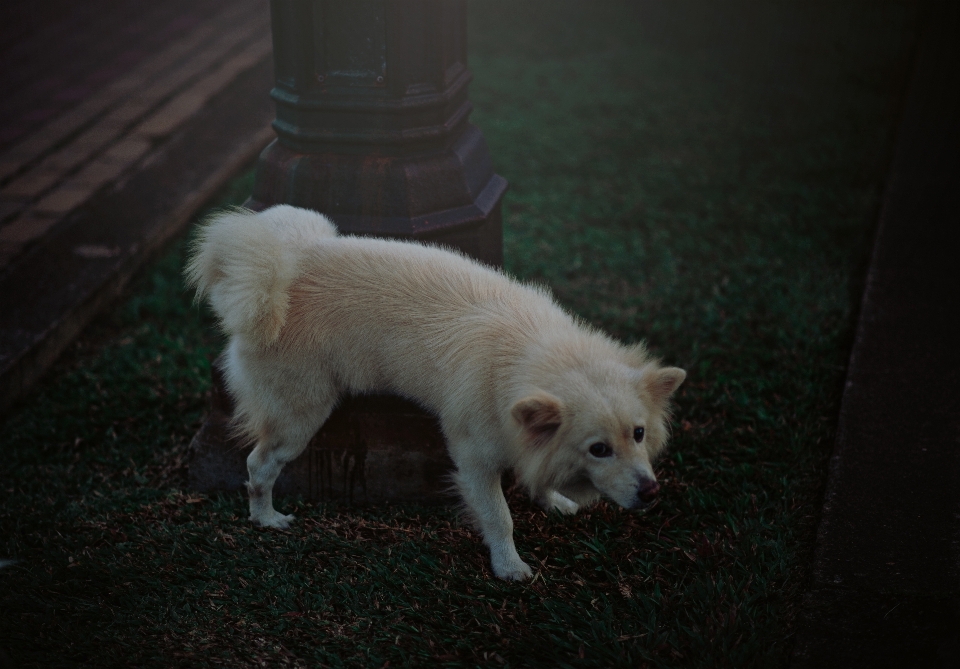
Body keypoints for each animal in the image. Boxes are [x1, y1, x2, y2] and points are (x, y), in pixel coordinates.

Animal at [188, 205, 684, 580]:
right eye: (599, 449)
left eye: (639, 435)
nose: (651, 492)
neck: (525, 352)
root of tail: (281, 271)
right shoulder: (474, 460)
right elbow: (499, 517)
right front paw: (509, 567)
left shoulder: (526, 442)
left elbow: (536, 474)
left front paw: (553, 501)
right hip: (299, 417)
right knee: (258, 464)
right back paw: (265, 518)